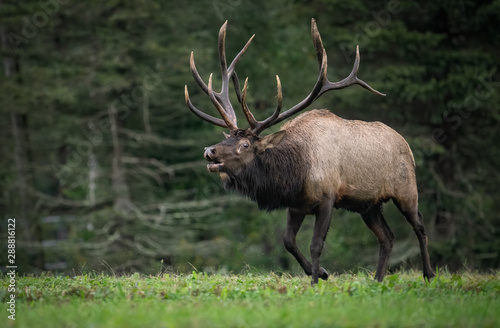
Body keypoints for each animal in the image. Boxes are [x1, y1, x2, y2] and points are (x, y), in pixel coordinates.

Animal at [184, 18, 434, 284]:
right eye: (229, 138)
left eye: (245, 145)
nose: (210, 150)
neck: (295, 172)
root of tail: (406, 145)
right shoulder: (296, 205)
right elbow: (288, 242)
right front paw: (321, 273)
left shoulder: (327, 198)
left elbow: (315, 245)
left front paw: (316, 281)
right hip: (368, 204)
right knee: (388, 236)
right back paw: (377, 280)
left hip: (406, 189)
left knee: (419, 224)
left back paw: (428, 274)